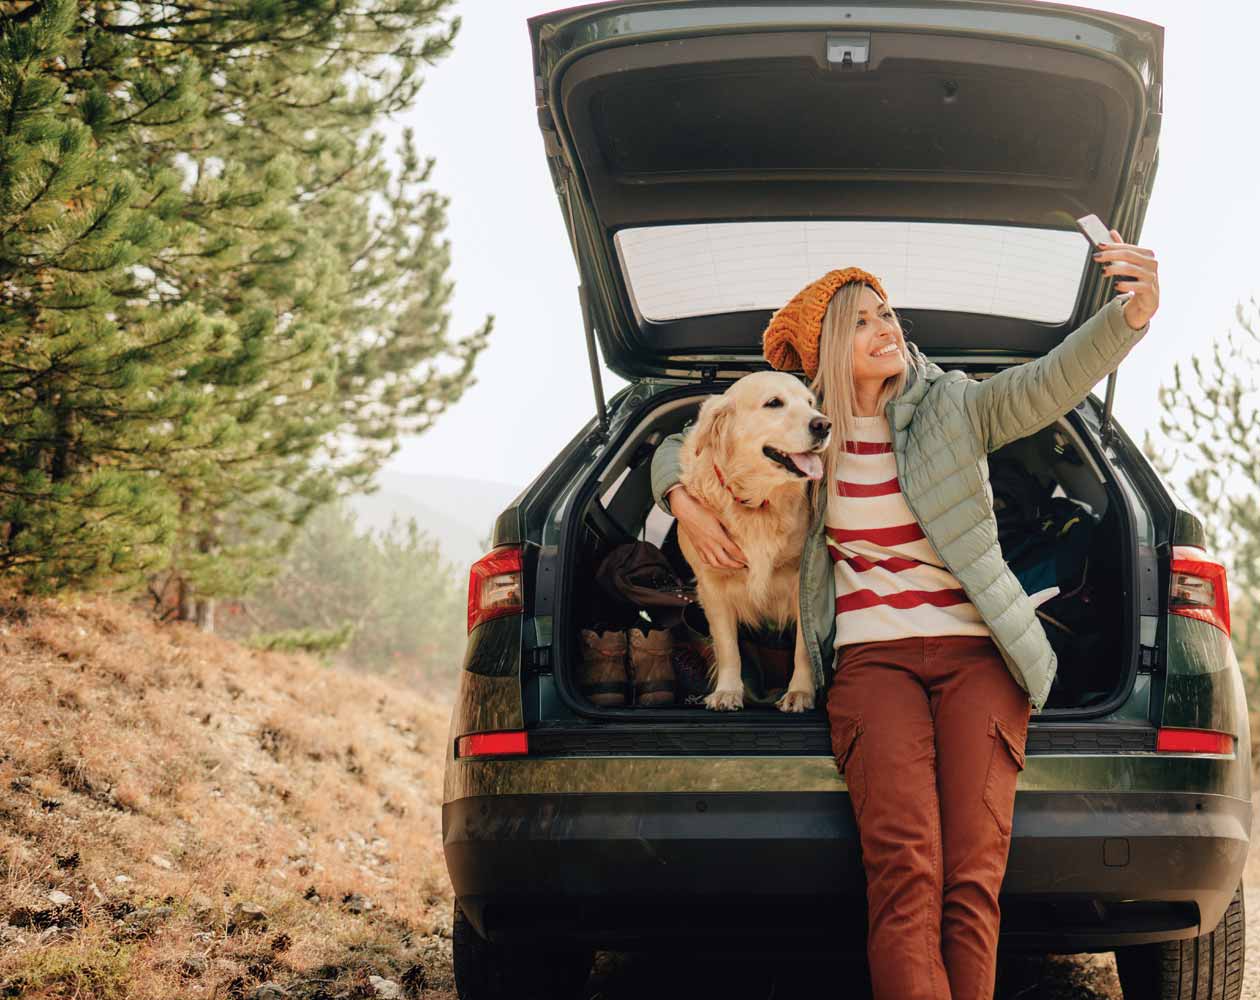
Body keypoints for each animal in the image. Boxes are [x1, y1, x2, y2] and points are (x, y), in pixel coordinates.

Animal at [680, 372, 826, 710]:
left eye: (810, 402)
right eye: (774, 403)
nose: (823, 425)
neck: (758, 503)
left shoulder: (802, 581)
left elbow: (804, 648)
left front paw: (800, 692)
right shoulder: (712, 586)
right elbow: (728, 647)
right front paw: (727, 691)